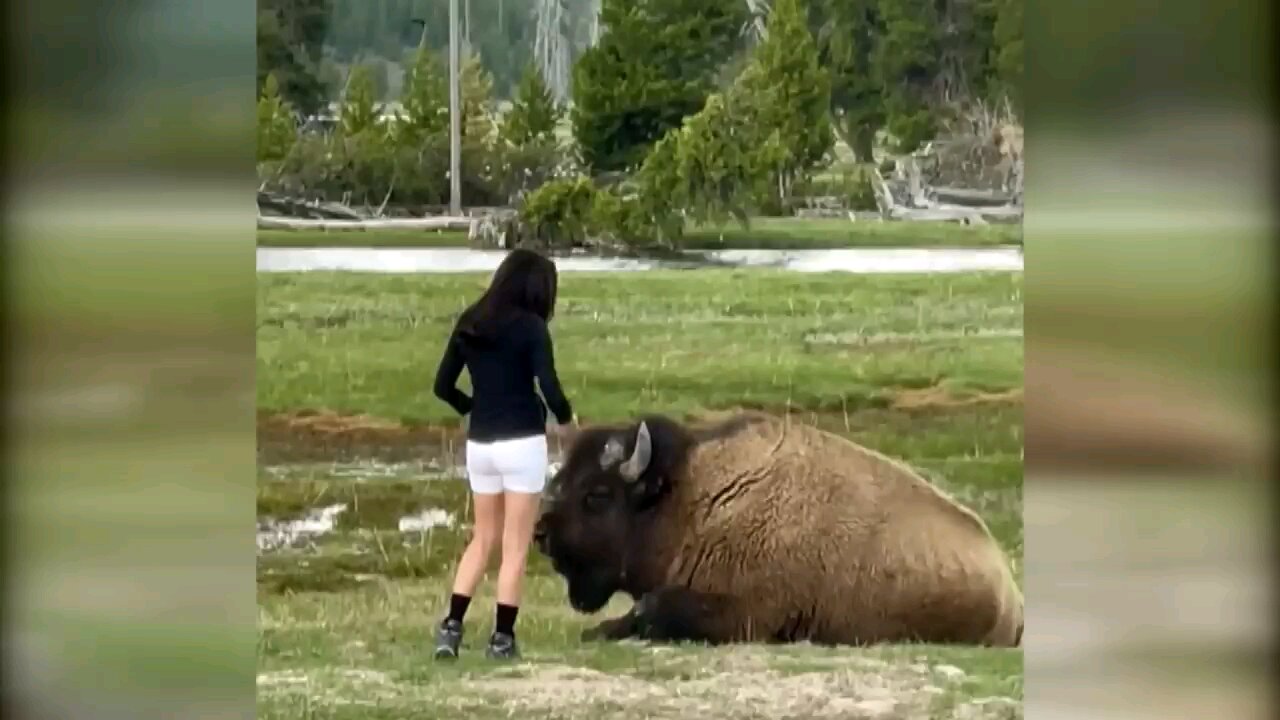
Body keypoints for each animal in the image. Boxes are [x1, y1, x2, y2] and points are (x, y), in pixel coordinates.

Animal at [535, 409, 1024, 645]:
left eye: (597, 495)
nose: (541, 533)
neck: (692, 499)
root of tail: (1010, 591)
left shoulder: (745, 612)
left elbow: (651, 608)